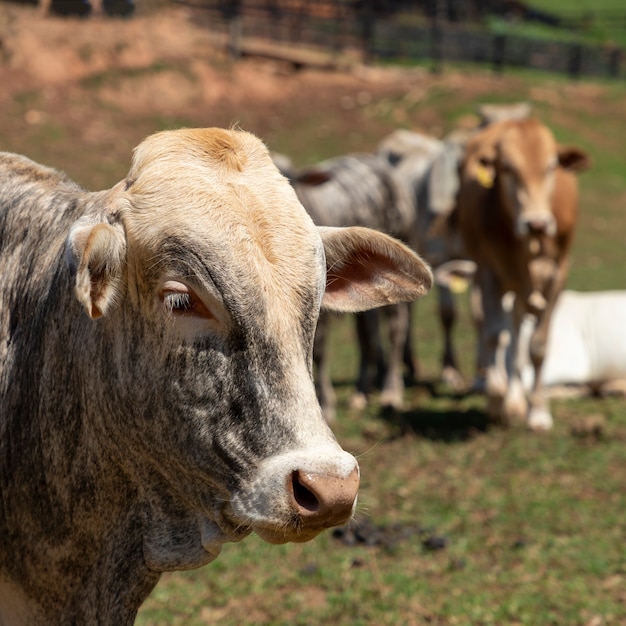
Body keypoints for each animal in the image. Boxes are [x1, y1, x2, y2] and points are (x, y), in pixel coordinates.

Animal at [450, 117, 588, 428]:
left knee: (515, 334)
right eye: (508, 169)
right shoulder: (489, 272)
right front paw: (497, 397)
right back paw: (503, 398)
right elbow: (493, 334)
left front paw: (537, 412)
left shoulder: (557, 275)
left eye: (551, 166)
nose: (536, 223)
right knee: (495, 328)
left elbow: (537, 346)